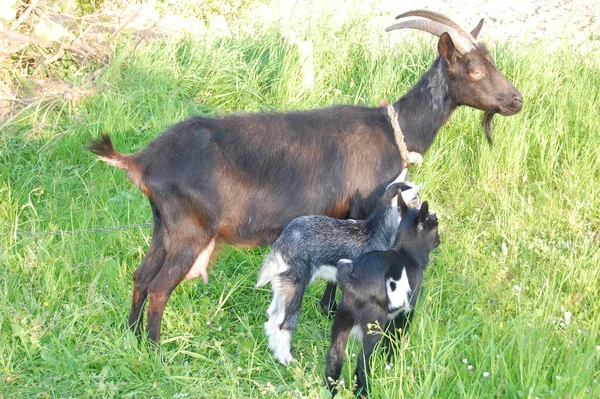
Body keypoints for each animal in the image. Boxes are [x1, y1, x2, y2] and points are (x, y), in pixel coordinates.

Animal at [255, 170, 420, 364]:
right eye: (416, 200)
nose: (432, 214)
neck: (375, 232)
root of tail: (283, 242)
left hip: (281, 285)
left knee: (272, 317)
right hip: (295, 286)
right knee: (283, 323)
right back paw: (287, 360)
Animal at [324, 195, 440, 398]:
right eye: (435, 226)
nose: (440, 239)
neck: (407, 253)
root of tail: (354, 280)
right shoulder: (407, 311)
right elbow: (395, 340)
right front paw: (392, 362)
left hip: (343, 316)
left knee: (334, 356)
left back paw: (332, 390)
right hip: (374, 323)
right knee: (362, 361)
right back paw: (364, 391)